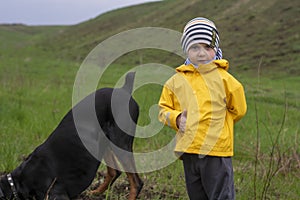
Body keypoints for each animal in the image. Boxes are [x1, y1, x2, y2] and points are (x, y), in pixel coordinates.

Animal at [0, 72, 143, 200]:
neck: (19, 181)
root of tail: (125, 89)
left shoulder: (56, 194)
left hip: (119, 142)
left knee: (137, 182)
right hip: (104, 141)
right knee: (114, 172)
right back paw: (95, 193)